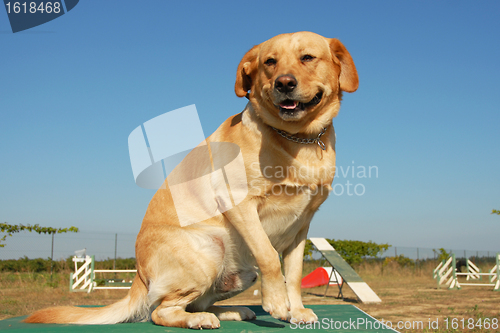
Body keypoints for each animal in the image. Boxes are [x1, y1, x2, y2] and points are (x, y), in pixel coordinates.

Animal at [25, 31, 358, 326]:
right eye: (270, 62)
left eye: (307, 57)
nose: (284, 84)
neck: (298, 139)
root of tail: (139, 275)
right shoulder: (238, 201)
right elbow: (269, 257)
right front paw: (277, 303)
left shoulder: (302, 225)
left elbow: (295, 273)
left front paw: (297, 311)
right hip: (210, 250)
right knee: (160, 312)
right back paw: (201, 319)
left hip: (238, 271)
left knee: (196, 302)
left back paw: (231, 311)